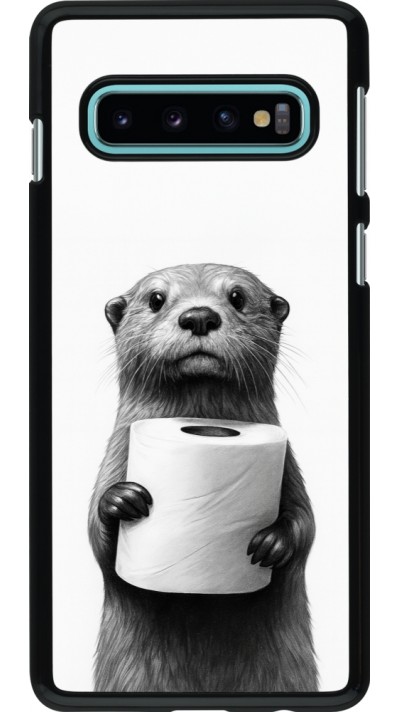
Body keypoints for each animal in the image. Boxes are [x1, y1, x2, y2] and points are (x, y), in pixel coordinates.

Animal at [88, 263, 317, 693]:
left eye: (237, 297)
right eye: (156, 299)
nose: (199, 316)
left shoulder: (289, 467)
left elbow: (307, 524)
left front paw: (273, 543)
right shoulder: (115, 456)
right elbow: (96, 537)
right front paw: (121, 500)